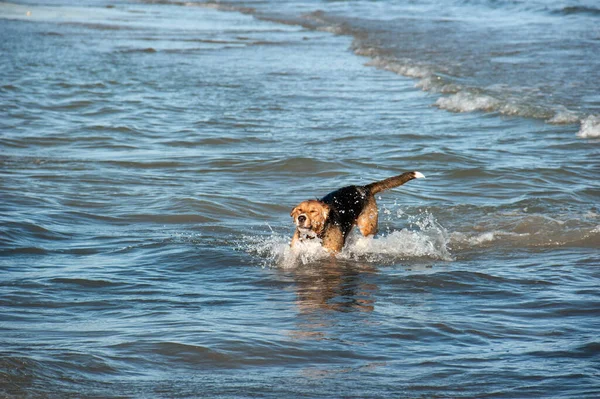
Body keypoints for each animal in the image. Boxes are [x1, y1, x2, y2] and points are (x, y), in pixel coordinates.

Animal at [290, 171, 422, 253]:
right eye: (299, 210)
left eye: (313, 211)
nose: (301, 218)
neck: (312, 235)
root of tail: (364, 188)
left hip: (367, 225)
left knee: (369, 235)